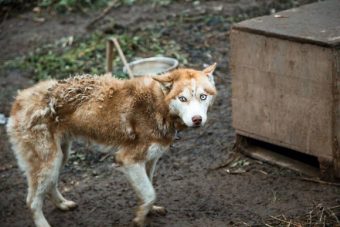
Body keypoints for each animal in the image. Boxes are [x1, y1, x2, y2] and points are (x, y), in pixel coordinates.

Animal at [7, 63, 218, 226]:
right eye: (182, 98)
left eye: (203, 97)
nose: (197, 119)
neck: (157, 107)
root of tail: (18, 99)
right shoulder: (128, 160)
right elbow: (150, 193)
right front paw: (140, 218)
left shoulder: (150, 161)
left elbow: (149, 190)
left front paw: (149, 211)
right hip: (49, 162)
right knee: (32, 201)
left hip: (60, 157)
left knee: (49, 187)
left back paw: (63, 204)